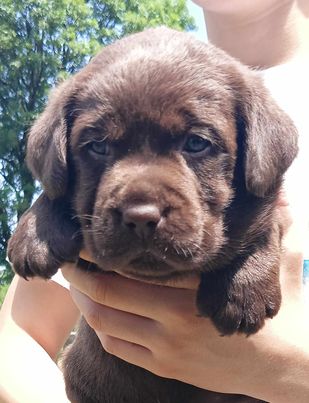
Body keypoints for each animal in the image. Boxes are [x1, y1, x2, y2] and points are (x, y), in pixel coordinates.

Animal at [7, 28, 296, 403]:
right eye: (97, 146)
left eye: (196, 143)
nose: (141, 217)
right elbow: (55, 187)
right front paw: (34, 234)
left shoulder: (272, 200)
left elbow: (267, 223)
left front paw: (244, 289)